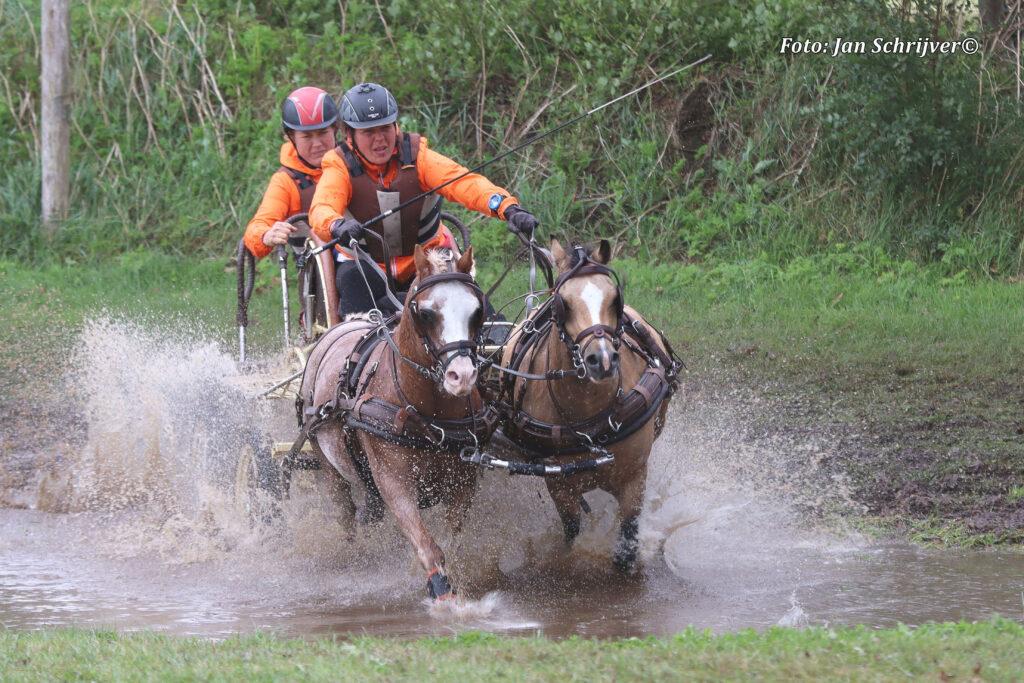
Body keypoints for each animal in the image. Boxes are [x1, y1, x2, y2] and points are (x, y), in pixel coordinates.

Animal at [294, 244, 493, 598]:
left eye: (477, 311)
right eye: (426, 313)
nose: (462, 375)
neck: (429, 415)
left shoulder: (464, 482)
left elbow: (452, 541)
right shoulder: (394, 483)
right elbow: (429, 548)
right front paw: (443, 596)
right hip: (327, 463)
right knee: (345, 515)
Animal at [497, 239, 675, 573]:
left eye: (615, 299)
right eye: (562, 303)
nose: (601, 360)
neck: (589, 417)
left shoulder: (634, 479)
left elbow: (626, 544)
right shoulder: (559, 485)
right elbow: (571, 534)